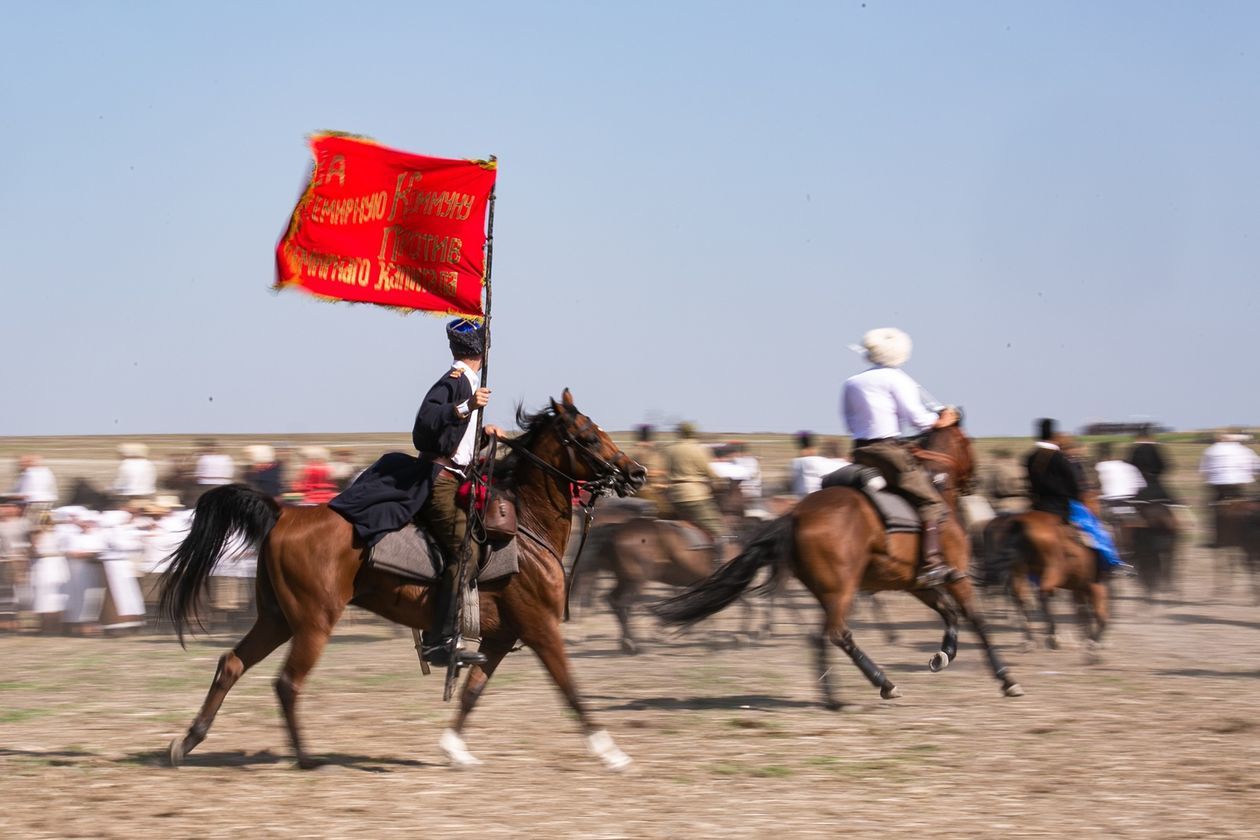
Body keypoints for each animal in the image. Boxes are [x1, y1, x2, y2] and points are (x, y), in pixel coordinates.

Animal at [157, 390, 645, 770]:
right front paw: (611, 753)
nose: (636, 472)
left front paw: (454, 749)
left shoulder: (501, 637)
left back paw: (188, 741)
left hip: (277, 618)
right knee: (287, 683)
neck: (525, 528)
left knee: (231, 664)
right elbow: (571, 689)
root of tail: (284, 512)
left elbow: (472, 692)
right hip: (313, 622)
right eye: (588, 436)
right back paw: (306, 757)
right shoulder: (540, 628)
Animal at [650, 423, 1023, 705]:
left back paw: (833, 693)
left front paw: (942, 655)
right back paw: (881, 684)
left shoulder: (917, 583)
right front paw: (1006, 678)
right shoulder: (956, 577)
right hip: (841, 589)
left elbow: (950, 614)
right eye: (967, 442)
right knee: (837, 633)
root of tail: (796, 514)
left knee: (821, 635)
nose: (976, 480)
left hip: (829, 591)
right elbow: (976, 618)